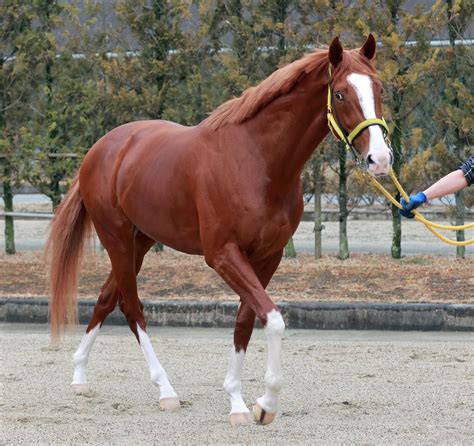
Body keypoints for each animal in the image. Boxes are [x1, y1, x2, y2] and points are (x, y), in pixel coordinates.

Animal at [46, 34, 390, 426]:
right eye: (341, 94)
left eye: (379, 88)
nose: (380, 159)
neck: (257, 160)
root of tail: (101, 149)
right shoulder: (222, 255)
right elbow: (272, 319)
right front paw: (263, 404)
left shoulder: (268, 257)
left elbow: (245, 321)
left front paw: (239, 401)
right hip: (116, 237)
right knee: (131, 307)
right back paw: (165, 390)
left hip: (141, 241)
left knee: (107, 298)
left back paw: (79, 375)